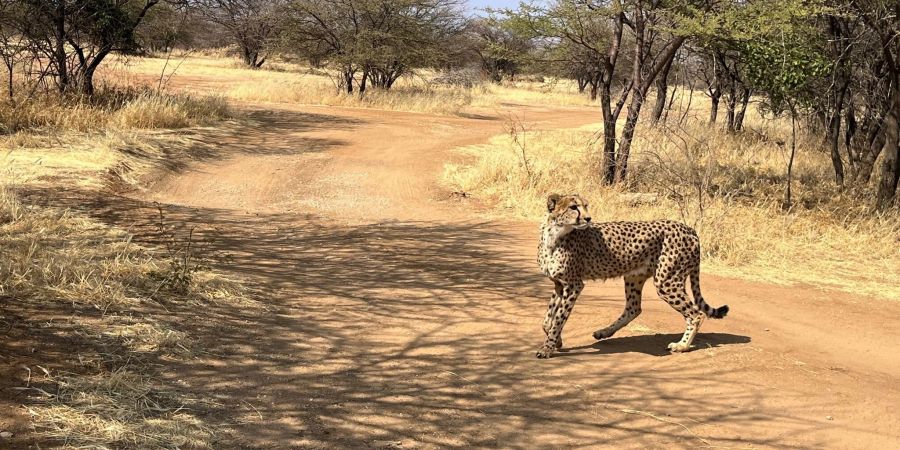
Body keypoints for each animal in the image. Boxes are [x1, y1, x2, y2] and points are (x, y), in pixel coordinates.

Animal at [536, 193, 728, 358]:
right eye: (573, 207)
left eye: (586, 206)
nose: (588, 218)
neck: (554, 235)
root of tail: (689, 229)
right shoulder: (559, 284)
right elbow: (548, 319)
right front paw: (557, 340)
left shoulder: (574, 285)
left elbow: (559, 317)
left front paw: (547, 348)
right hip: (634, 277)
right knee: (634, 308)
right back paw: (604, 332)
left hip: (666, 282)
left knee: (696, 314)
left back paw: (682, 346)